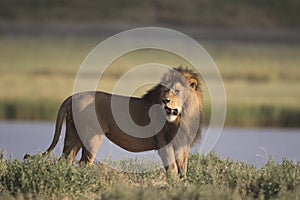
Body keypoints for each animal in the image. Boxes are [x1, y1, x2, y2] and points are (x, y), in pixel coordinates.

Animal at [42, 67, 203, 177]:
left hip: (73, 135)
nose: (165, 100)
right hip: (92, 137)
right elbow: (173, 170)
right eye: (165, 91)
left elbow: (183, 170)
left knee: (65, 160)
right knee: (84, 163)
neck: (183, 117)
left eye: (176, 91)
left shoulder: (183, 145)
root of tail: (75, 96)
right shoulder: (164, 143)